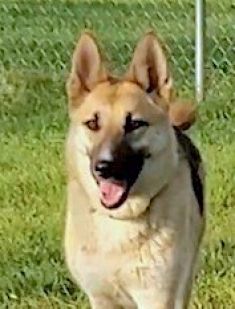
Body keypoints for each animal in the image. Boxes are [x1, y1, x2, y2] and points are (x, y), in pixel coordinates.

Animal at [64, 30, 206, 306]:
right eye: (93, 123)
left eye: (135, 124)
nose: (104, 167)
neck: (120, 220)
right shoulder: (101, 298)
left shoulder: (157, 297)